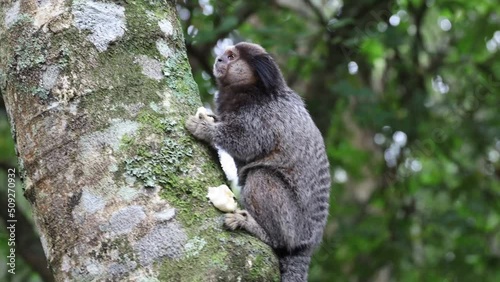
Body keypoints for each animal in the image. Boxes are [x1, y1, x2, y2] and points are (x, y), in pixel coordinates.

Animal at [186, 40, 330, 280]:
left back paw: (258, 229)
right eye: (224, 55)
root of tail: (308, 245)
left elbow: (249, 142)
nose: (219, 59)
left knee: (261, 177)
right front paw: (211, 119)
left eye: (231, 56)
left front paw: (206, 128)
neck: (249, 89)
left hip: (295, 225)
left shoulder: (265, 116)